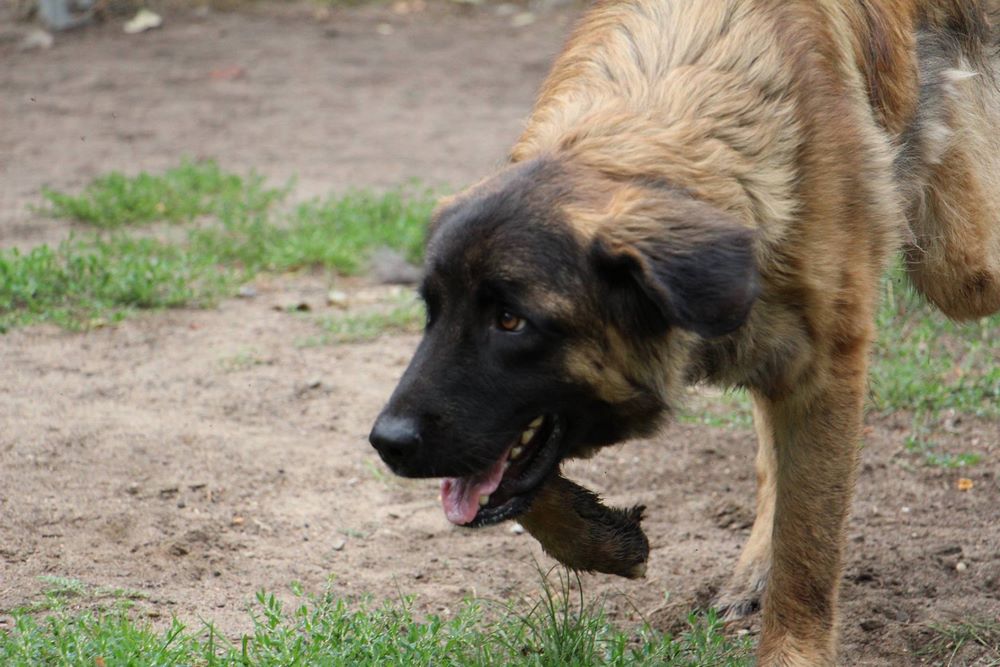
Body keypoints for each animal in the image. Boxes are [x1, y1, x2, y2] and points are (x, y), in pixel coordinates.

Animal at [370, 1, 1000, 663]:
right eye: (433, 312)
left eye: (511, 321)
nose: (386, 442)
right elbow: (520, 478)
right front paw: (602, 540)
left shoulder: (826, 367)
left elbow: (808, 548)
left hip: (960, 267)